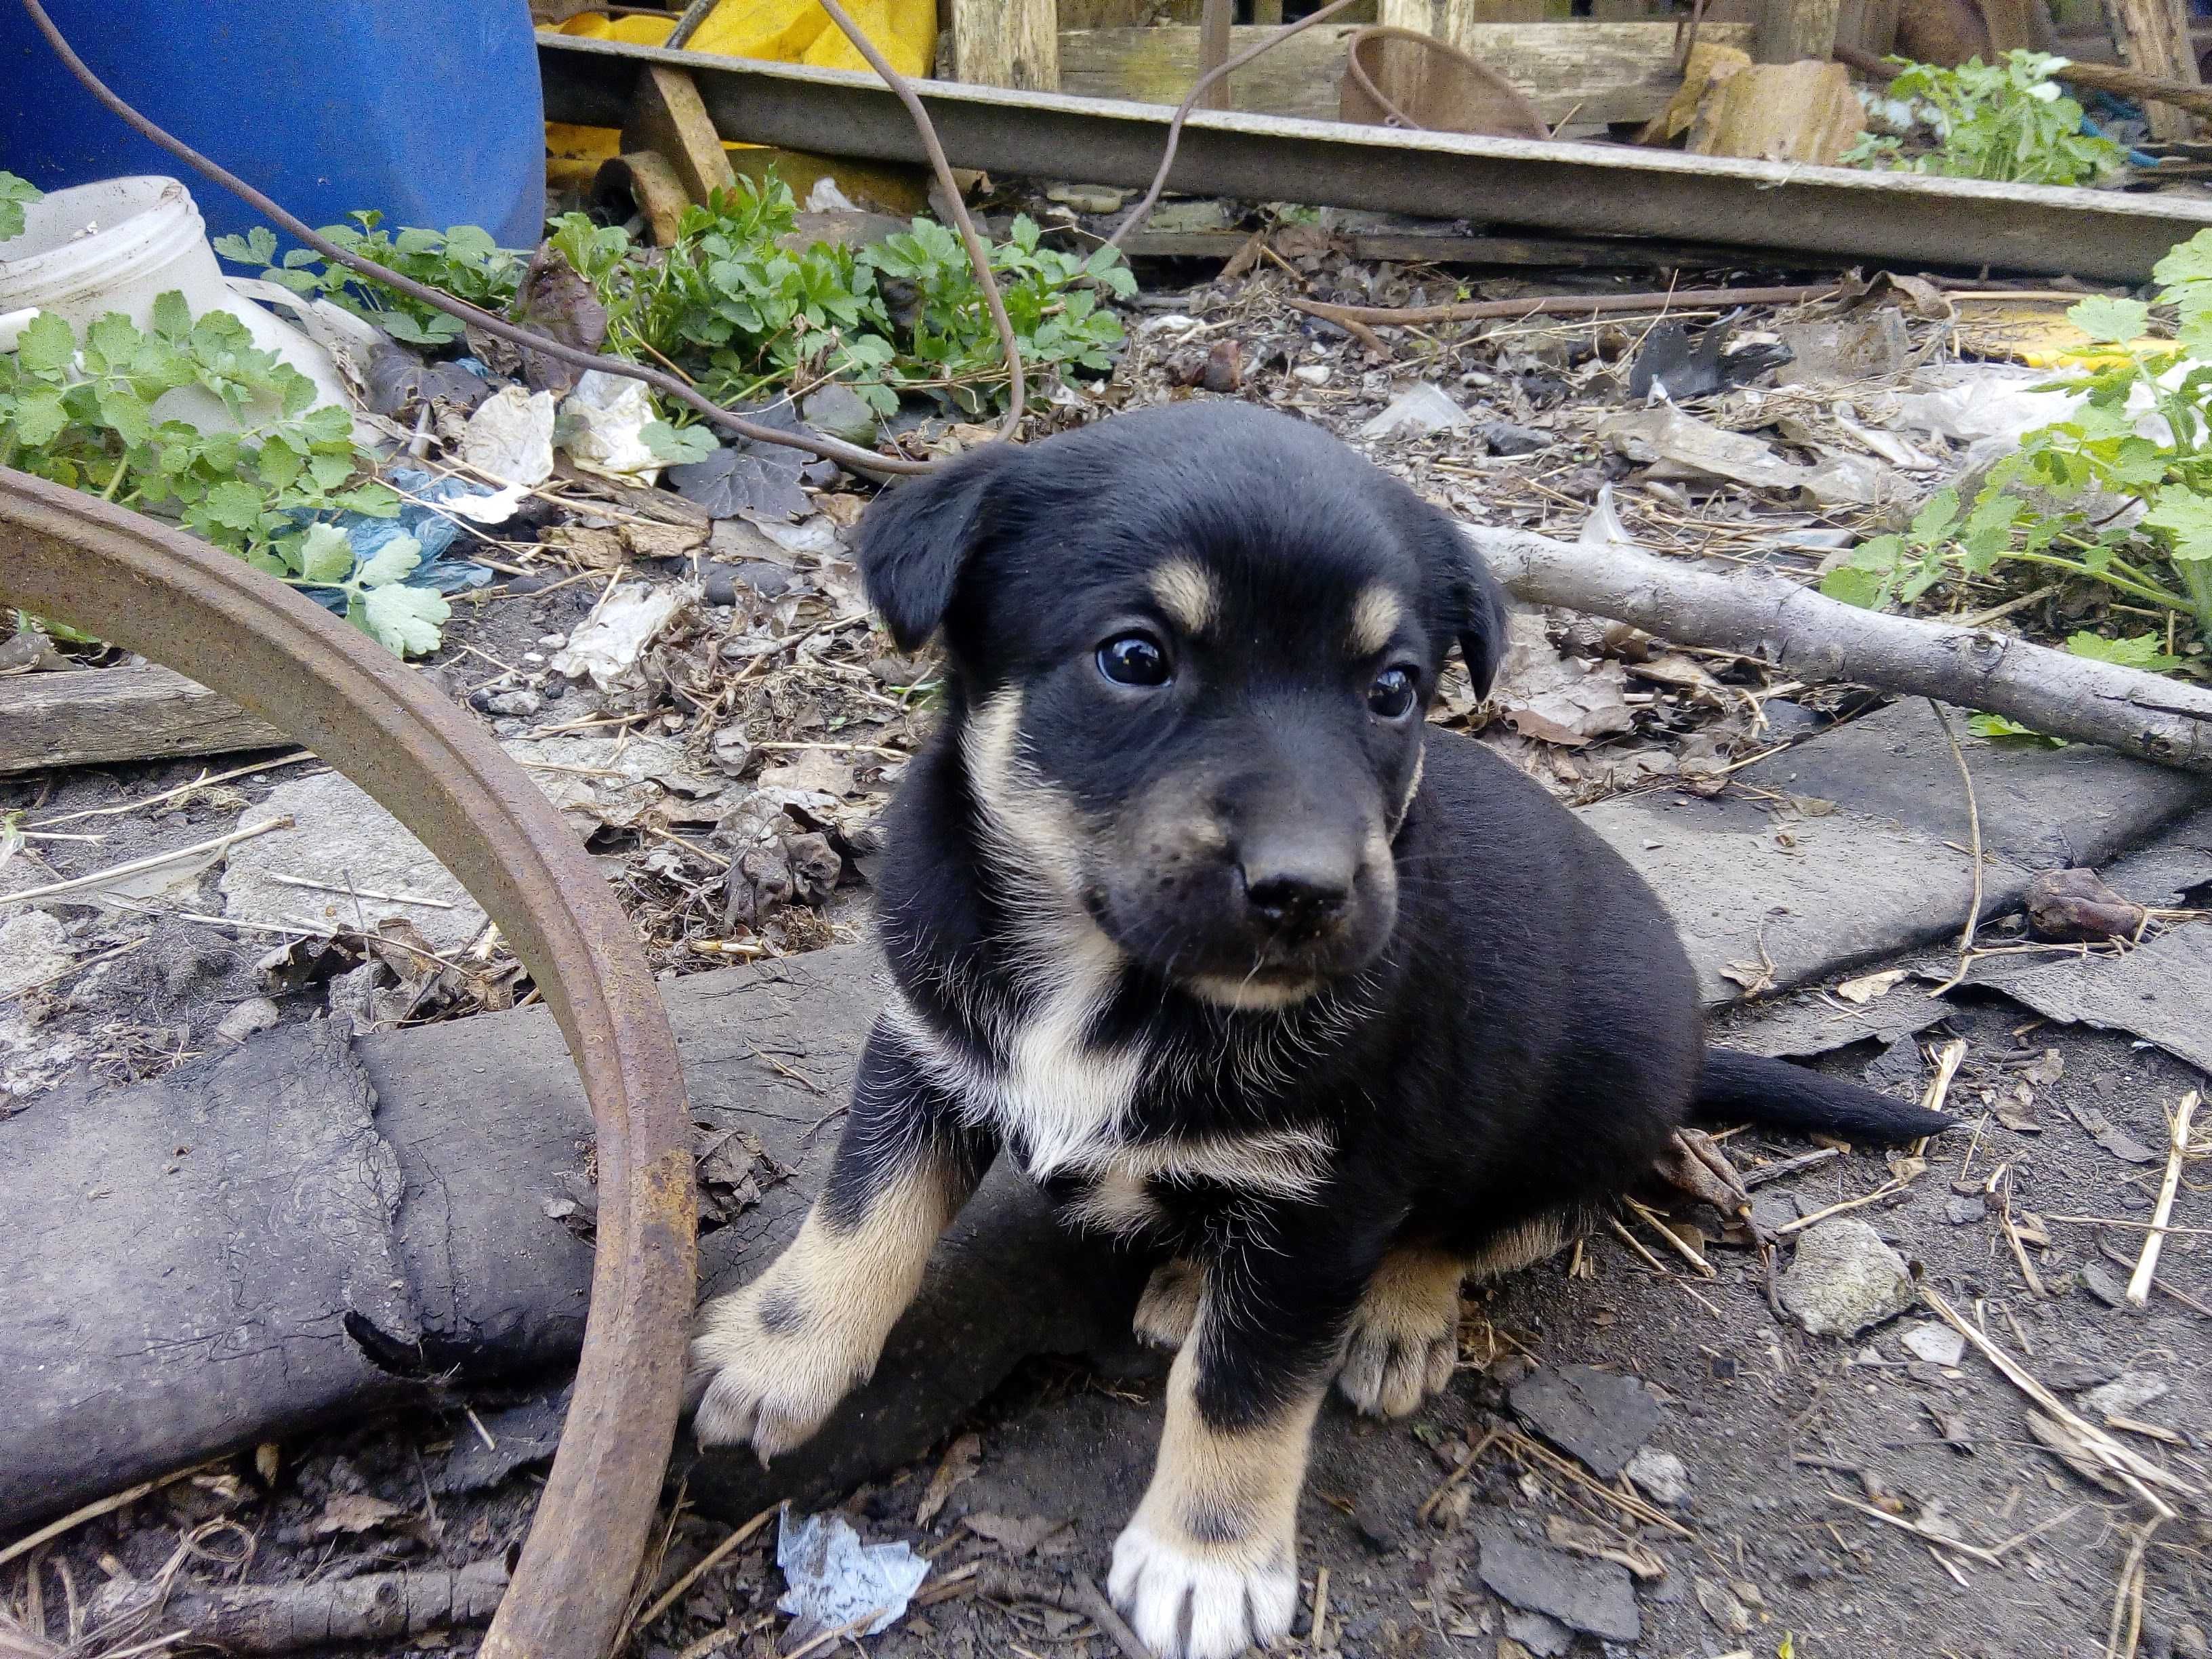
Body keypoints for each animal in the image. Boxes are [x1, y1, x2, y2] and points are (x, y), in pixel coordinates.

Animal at [690, 403, 1955, 1659]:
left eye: (1392, 687)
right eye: (1133, 658)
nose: (1305, 892)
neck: (1115, 979)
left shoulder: (1325, 1199)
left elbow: (1245, 1389)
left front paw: (1205, 1558)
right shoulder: (927, 1049)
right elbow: (863, 1214)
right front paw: (772, 1355)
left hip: (1598, 1088)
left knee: (1502, 1218)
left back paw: (1394, 1315)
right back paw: (1190, 1277)